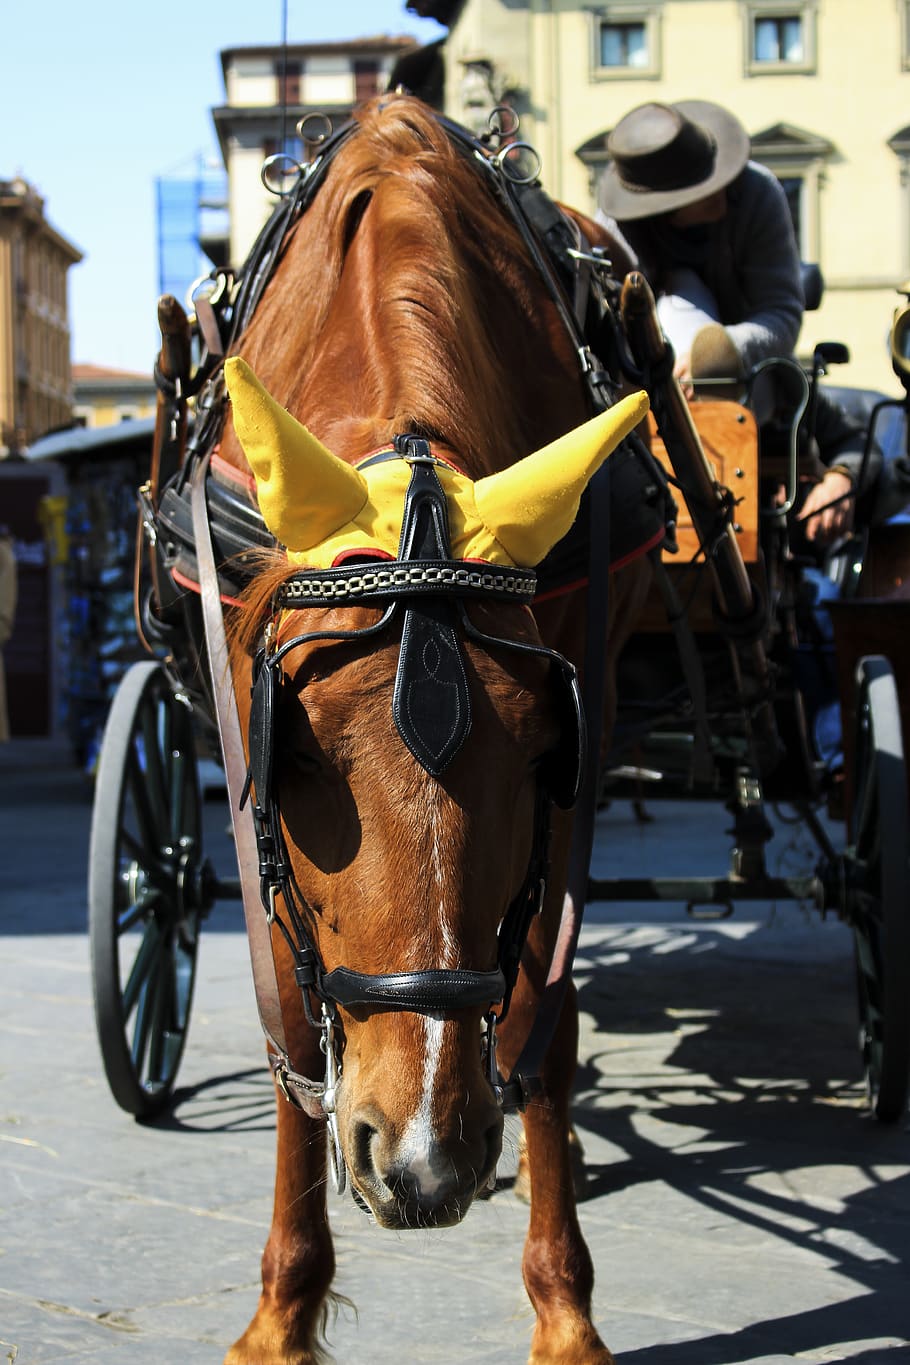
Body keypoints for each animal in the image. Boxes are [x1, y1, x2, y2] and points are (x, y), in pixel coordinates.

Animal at [206, 90, 652, 1359]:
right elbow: (291, 1020)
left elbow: (547, 1008)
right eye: (295, 756)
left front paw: (565, 1310)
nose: (421, 1165)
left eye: (546, 749)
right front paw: (281, 1311)